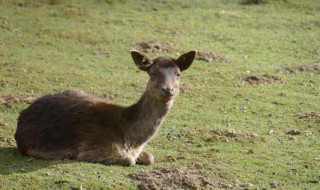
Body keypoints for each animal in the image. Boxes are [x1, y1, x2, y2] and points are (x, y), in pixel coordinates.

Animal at [15, 49, 196, 166]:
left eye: (178, 74)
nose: (167, 90)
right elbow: (129, 161)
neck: (132, 140)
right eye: (152, 73)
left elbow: (150, 157)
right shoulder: (94, 147)